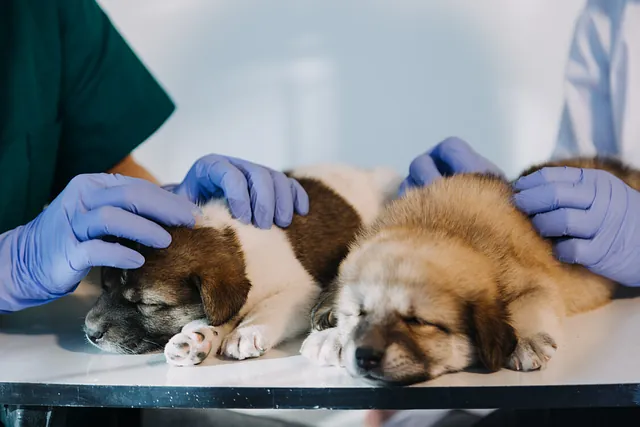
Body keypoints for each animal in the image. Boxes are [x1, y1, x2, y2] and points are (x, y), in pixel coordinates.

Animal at [82, 164, 402, 364]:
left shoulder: (306, 289)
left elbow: (270, 306)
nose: (90, 333)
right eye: (104, 286)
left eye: (147, 304)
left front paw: (246, 331)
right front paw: (197, 337)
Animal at [302, 155, 640, 386]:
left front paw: (526, 341)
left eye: (417, 321)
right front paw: (331, 337)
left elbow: (527, 305)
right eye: (359, 313)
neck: (440, 227)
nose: (365, 355)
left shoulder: (535, 283)